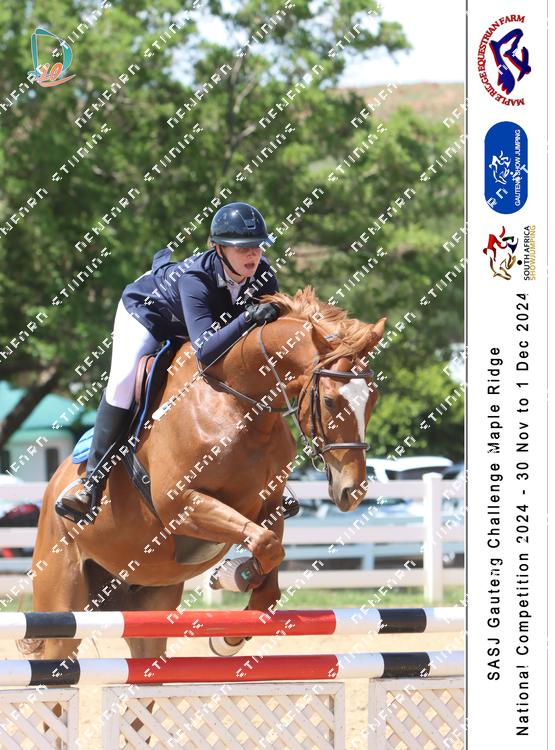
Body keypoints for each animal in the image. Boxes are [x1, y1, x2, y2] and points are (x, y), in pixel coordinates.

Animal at [23, 287, 386, 662]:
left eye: (372, 399)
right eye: (329, 401)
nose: (353, 491)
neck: (239, 404)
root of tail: (51, 489)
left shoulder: (269, 503)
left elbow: (270, 566)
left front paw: (229, 633)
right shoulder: (182, 504)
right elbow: (265, 544)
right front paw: (233, 576)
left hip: (146, 603)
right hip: (61, 601)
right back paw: (80, 498)